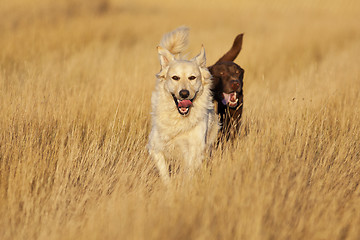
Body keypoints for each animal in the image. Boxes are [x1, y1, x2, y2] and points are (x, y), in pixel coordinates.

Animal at [147, 26, 219, 182]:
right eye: (175, 77)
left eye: (192, 77)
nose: (184, 94)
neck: (179, 119)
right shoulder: (155, 147)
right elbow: (164, 173)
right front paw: (169, 186)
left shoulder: (195, 148)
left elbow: (188, 172)